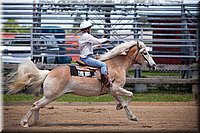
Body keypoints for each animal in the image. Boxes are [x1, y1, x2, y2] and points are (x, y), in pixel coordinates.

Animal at [7, 40, 156, 127]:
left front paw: (132, 116)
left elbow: (123, 100)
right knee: (35, 105)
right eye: (144, 52)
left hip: (49, 96)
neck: (115, 66)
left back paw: (35, 122)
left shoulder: (113, 91)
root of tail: (49, 72)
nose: (154, 65)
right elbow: (130, 95)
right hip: (51, 96)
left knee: (37, 106)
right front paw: (122, 107)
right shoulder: (116, 88)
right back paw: (25, 122)